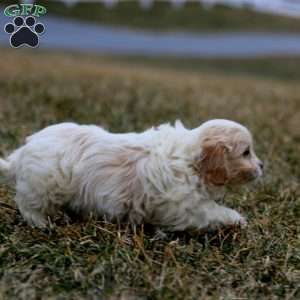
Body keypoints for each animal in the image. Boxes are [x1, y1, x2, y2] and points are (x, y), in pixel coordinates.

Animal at [0, 119, 262, 230]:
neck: (190, 157)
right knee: (29, 207)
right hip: (41, 187)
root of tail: (21, 154)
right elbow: (214, 212)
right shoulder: (187, 207)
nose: (262, 166)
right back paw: (43, 224)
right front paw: (238, 219)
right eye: (246, 152)